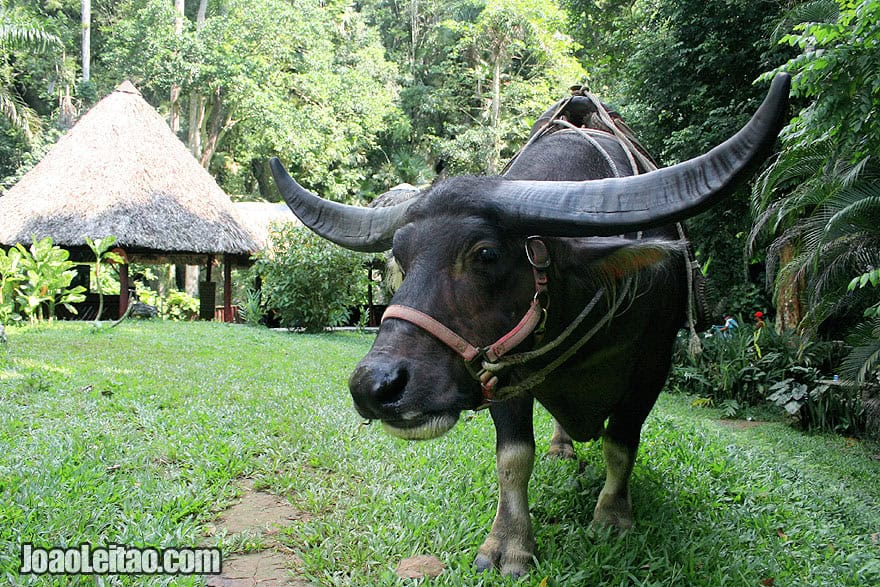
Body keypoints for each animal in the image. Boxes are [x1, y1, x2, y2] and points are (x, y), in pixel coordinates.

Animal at [270, 73, 792, 576]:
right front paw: (509, 545)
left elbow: (620, 443)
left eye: (485, 254)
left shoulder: (654, 363)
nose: (373, 387)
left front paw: (612, 518)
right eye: (400, 257)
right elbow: (514, 458)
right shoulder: (502, 367)